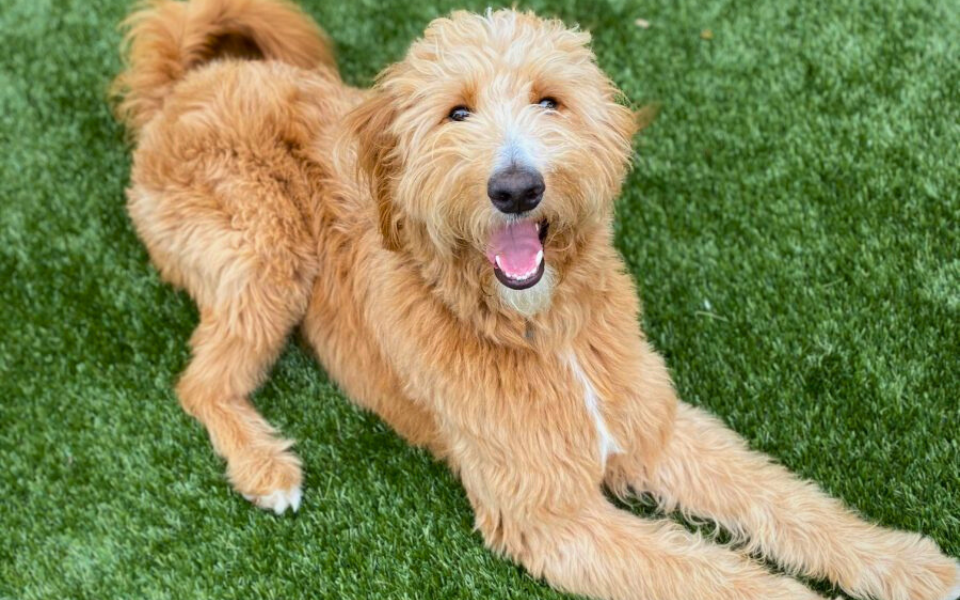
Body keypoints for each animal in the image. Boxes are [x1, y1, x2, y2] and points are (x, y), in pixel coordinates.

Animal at [112, 1, 960, 600]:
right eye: (457, 112)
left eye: (550, 101)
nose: (516, 188)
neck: (543, 329)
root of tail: (180, 86)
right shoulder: (550, 516)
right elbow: (714, 573)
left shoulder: (654, 429)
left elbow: (793, 504)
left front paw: (915, 567)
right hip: (267, 251)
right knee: (200, 383)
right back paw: (265, 466)